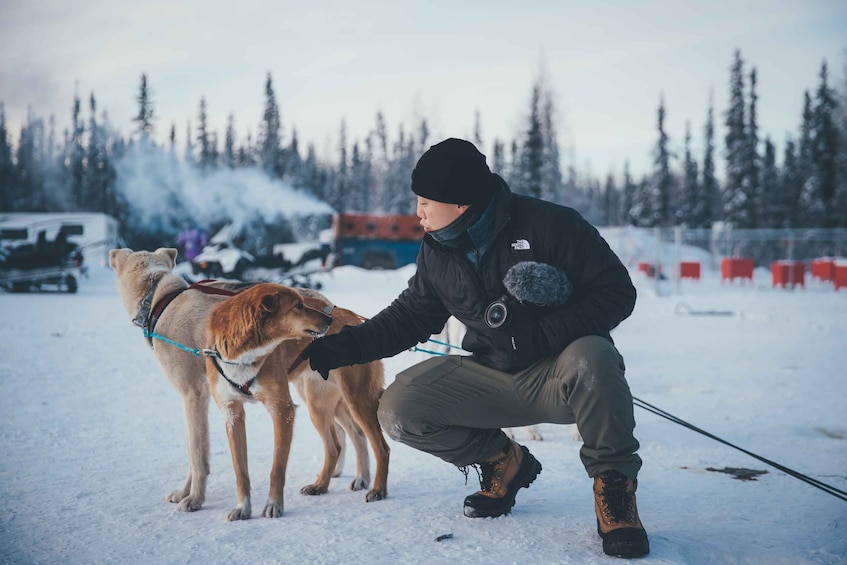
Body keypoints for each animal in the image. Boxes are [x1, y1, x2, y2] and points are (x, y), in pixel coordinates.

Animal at [205, 284, 390, 516]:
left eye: (303, 302)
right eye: (298, 306)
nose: (328, 319)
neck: (242, 357)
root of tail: (355, 318)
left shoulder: (282, 410)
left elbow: (277, 468)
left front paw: (273, 505)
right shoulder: (232, 413)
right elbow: (240, 471)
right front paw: (242, 507)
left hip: (357, 399)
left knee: (380, 447)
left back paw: (378, 489)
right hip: (321, 406)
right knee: (338, 445)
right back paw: (324, 484)